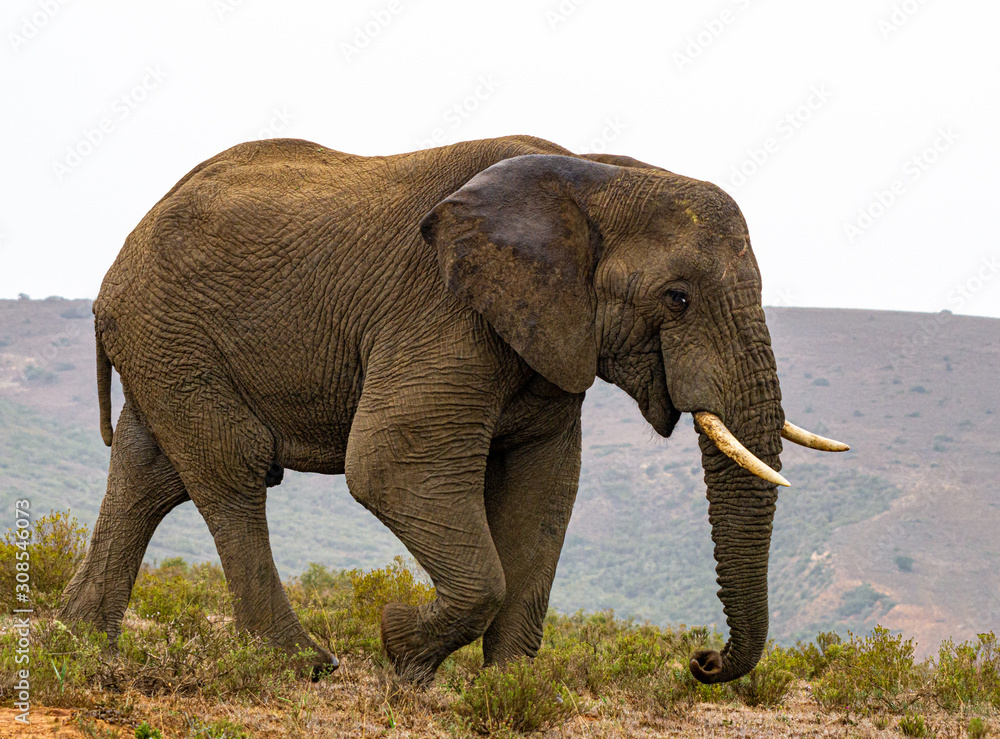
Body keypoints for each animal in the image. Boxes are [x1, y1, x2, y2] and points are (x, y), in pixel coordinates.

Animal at [59, 134, 848, 685]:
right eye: (677, 297)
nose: (703, 660)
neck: (593, 174)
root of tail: (121, 256)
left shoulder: (549, 336)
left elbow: (544, 489)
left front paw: (510, 687)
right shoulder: (441, 310)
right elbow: (389, 465)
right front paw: (403, 650)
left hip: (164, 344)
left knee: (147, 474)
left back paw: (80, 643)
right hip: (173, 332)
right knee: (230, 470)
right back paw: (304, 665)